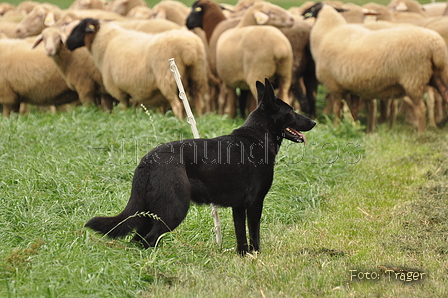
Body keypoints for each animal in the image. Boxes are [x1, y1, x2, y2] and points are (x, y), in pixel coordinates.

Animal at [65, 17, 211, 118]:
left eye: (77, 30)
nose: (67, 44)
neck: (105, 42)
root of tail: (189, 49)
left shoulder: (117, 89)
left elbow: (124, 107)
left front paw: (124, 118)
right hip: (197, 75)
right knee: (199, 102)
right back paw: (200, 119)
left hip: (167, 78)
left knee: (177, 105)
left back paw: (179, 121)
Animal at [86, 78, 316, 254]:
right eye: (291, 111)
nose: (313, 122)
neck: (258, 136)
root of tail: (147, 161)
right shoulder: (254, 202)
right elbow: (254, 234)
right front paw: (256, 257)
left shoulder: (239, 207)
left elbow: (241, 236)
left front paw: (244, 256)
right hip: (174, 209)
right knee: (149, 239)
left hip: (147, 214)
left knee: (137, 240)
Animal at [300, 2, 448, 132]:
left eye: (312, 8)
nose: (303, 15)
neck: (328, 31)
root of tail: (435, 46)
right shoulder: (352, 87)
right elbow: (353, 109)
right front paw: (355, 126)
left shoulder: (334, 85)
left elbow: (337, 109)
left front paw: (336, 127)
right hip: (438, 75)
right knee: (444, 96)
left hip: (413, 79)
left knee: (421, 108)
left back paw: (421, 133)